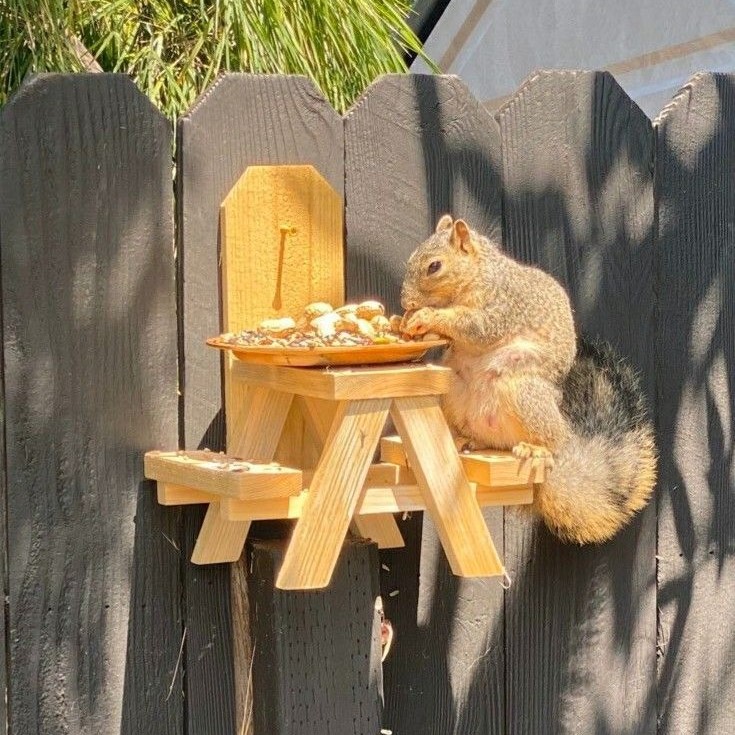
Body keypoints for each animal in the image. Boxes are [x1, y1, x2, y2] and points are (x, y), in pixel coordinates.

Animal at [400, 214, 657, 544]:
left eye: (434, 266)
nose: (405, 302)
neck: (480, 273)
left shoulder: (501, 308)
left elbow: (476, 327)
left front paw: (427, 317)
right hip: (453, 390)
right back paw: (463, 439)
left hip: (525, 392)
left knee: (553, 439)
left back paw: (538, 448)